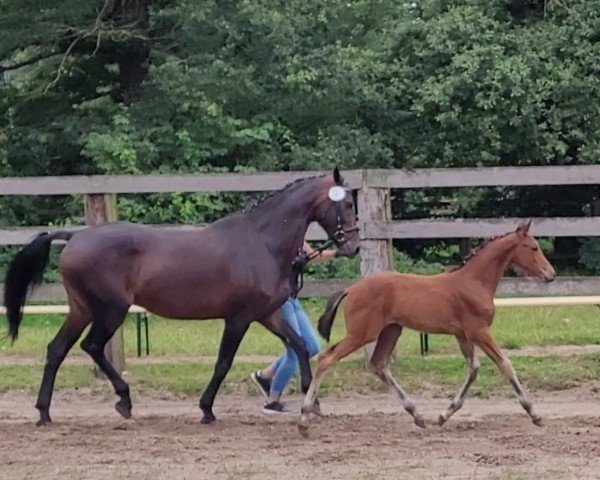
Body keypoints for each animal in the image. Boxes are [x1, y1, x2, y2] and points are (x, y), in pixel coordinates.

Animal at [298, 221, 556, 436]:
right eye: (534, 248)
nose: (551, 274)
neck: (474, 281)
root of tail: (351, 288)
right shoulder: (479, 331)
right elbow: (505, 364)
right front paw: (535, 414)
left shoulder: (463, 335)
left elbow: (473, 369)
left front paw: (444, 415)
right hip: (362, 333)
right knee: (326, 359)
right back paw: (304, 420)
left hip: (391, 330)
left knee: (379, 364)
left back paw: (418, 415)